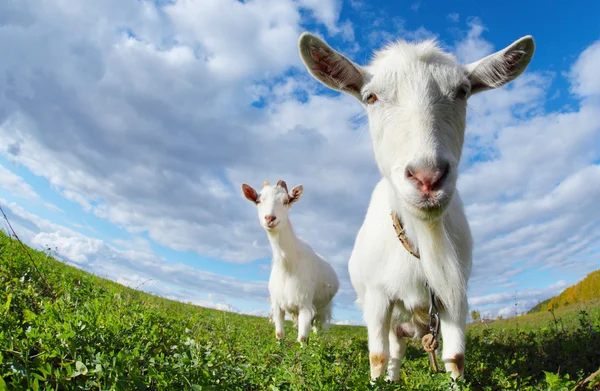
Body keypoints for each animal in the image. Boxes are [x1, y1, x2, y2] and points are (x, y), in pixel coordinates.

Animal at [241, 180, 340, 344]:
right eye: (259, 201)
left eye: (285, 201)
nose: (270, 218)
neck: (288, 264)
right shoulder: (277, 305)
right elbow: (279, 334)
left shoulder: (305, 304)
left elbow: (302, 338)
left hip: (323, 308)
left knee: (319, 328)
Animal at [298, 32, 536, 382]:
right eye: (370, 97)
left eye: (463, 91)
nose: (427, 177)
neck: (421, 240)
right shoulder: (377, 298)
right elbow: (377, 356)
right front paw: (378, 380)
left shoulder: (455, 295)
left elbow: (455, 359)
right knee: (394, 351)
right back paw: (392, 378)